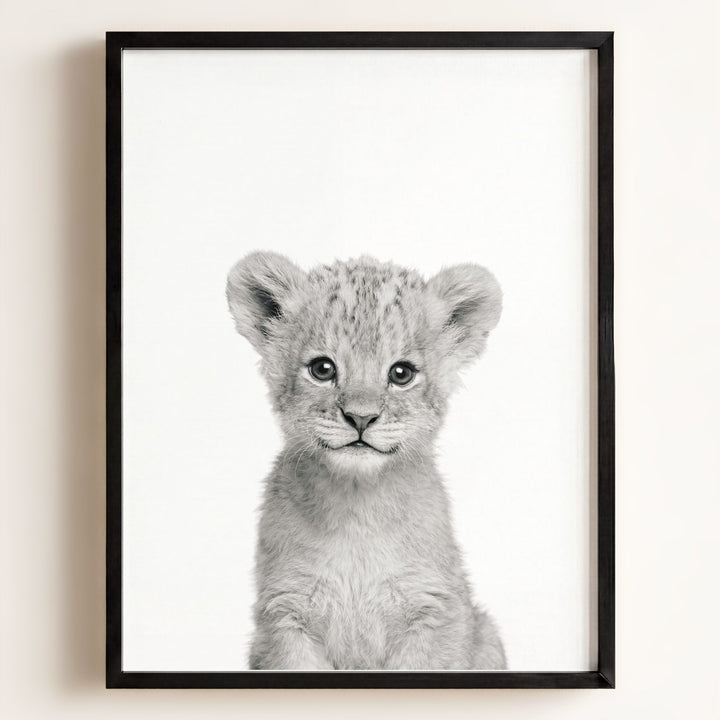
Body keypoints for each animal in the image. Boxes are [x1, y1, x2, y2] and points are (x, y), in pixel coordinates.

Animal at [226, 253, 506, 670]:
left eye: (401, 373)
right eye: (322, 369)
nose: (361, 418)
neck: (357, 508)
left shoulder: (435, 611)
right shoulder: (284, 614)